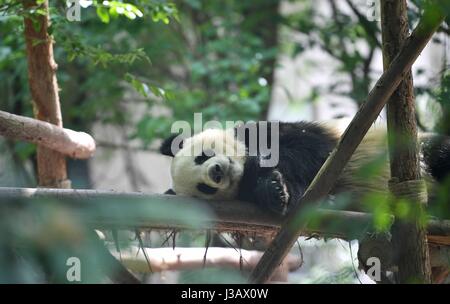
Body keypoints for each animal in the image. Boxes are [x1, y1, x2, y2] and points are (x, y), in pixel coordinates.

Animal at [160, 120, 450, 215]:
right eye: (204, 189)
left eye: (202, 156)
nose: (216, 172)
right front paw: (274, 191)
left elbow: (307, 149)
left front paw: (265, 172)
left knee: (439, 153)